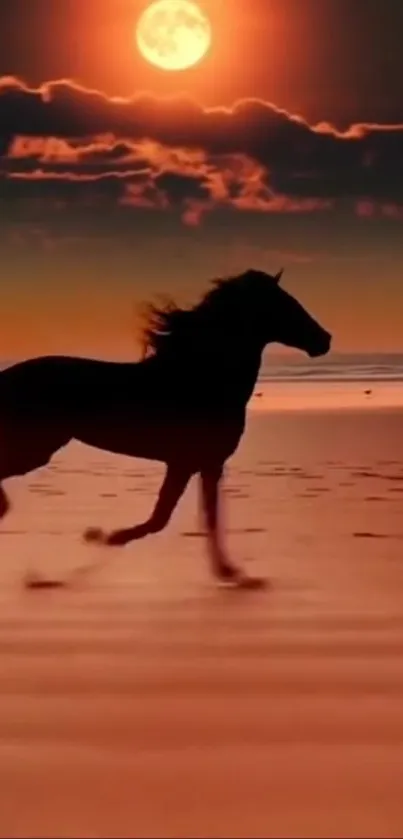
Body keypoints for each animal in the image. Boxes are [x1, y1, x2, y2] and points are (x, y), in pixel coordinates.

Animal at [0, 272, 332, 588]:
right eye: (285, 304)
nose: (325, 339)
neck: (203, 379)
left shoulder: (208, 465)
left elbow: (206, 518)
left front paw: (232, 573)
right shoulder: (184, 462)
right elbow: (162, 518)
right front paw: (102, 536)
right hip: (34, 449)